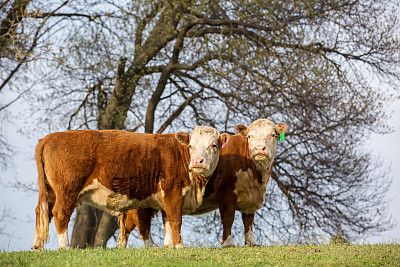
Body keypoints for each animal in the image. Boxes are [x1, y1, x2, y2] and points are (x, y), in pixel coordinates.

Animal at [31, 127, 230, 251]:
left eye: (214, 145)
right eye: (191, 146)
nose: (197, 161)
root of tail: (49, 137)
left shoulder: (164, 197)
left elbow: (165, 221)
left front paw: (167, 246)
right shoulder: (173, 192)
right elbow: (175, 219)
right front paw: (179, 246)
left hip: (50, 191)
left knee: (42, 211)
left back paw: (38, 246)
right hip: (67, 190)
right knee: (60, 213)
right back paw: (64, 246)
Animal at [115, 119, 288, 249]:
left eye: (273, 134)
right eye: (250, 136)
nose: (259, 148)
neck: (256, 177)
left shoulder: (251, 198)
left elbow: (248, 220)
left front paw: (252, 242)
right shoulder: (227, 193)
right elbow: (228, 218)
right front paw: (228, 243)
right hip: (142, 200)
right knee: (139, 221)